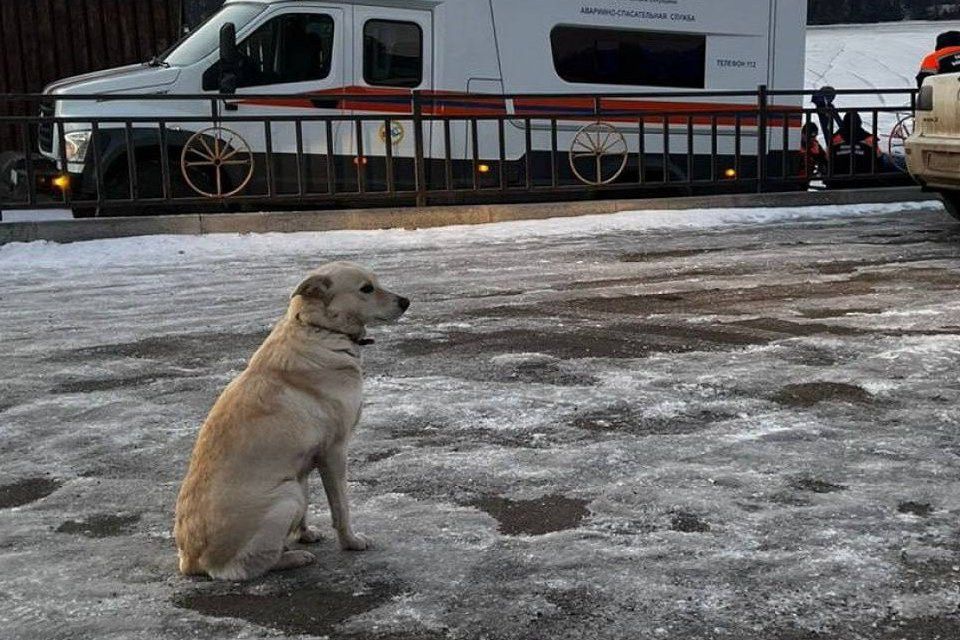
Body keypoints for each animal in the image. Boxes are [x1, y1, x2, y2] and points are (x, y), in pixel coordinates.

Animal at [176, 262, 408, 584]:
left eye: (377, 282)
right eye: (366, 289)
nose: (406, 301)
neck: (319, 328)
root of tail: (191, 560)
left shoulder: (304, 462)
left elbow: (310, 505)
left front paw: (305, 534)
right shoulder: (334, 452)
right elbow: (341, 507)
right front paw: (350, 542)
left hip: (292, 487)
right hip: (287, 497)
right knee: (245, 568)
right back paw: (293, 558)